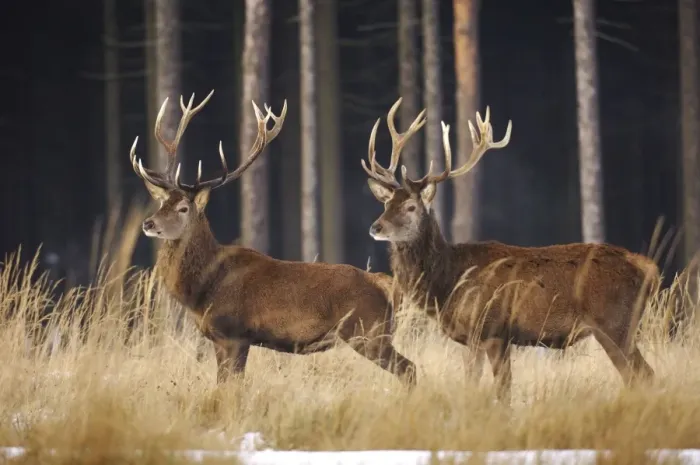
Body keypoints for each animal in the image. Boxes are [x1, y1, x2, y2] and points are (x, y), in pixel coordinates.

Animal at [128, 90, 417, 387]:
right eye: (162, 203)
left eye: (183, 208)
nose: (148, 223)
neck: (203, 288)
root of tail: (385, 283)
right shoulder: (219, 339)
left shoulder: (235, 334)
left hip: (368, 331)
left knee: (409, 368)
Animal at [361, 98, 659, 402]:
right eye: (387, 203)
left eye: (411, 207)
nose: (376, 227)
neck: (449, 283)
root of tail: (649, 268)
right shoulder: (484, 338)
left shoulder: (491, 329)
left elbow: (499, 389)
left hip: (615, 324)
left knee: (644, 374)